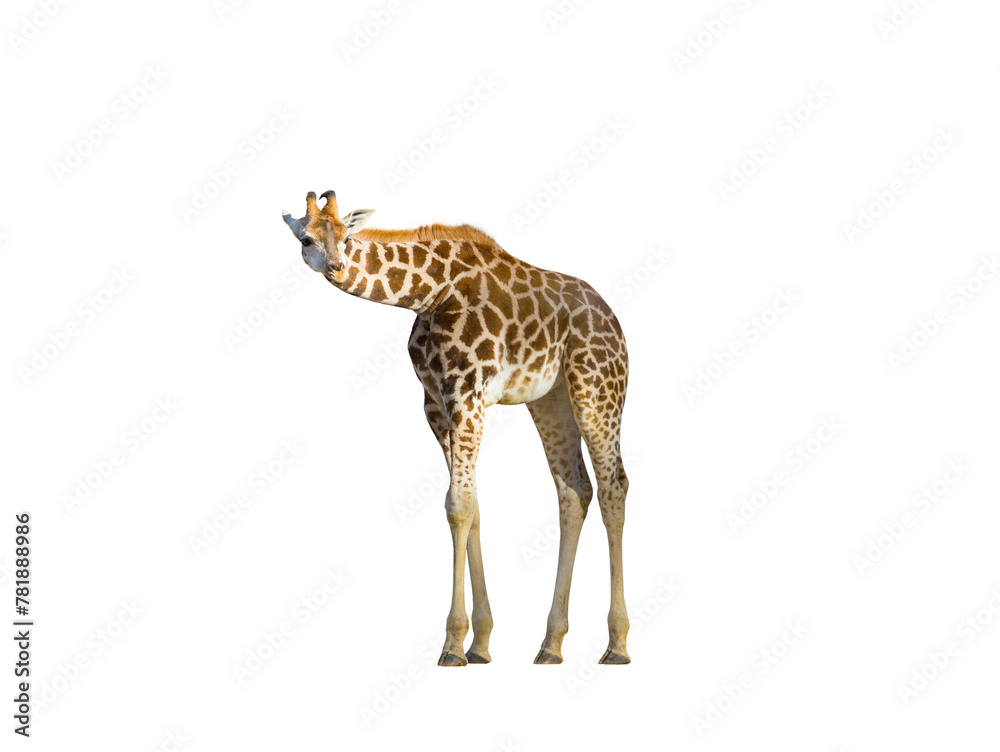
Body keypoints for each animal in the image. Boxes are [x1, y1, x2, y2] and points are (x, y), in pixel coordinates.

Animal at [282, 190, 631, 666]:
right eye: (306, 239)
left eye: (346, 236)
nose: (335, 265)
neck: (428, 294)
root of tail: (614, 321)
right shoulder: (435, 402)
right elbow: (469, 504)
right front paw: (479, 644)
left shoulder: (467, 390)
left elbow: (459, 504)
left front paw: (452, 646)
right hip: (550, 398)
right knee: (574, 491)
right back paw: (551, 644)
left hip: (596, 386)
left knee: (614, 485)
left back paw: (617, 644)